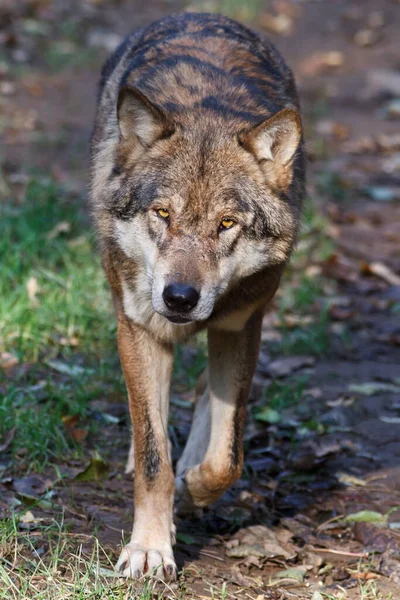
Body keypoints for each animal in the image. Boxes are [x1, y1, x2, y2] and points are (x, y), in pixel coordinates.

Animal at [90, 10, 304, 580]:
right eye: (162, 213)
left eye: (226, 224)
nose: (180, 298)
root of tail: (203, 12)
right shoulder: (140, 330)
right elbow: (152, 455)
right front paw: (149, 548)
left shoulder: (240, 326)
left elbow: (227, 459)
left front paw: (191, 492)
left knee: (211, 398)